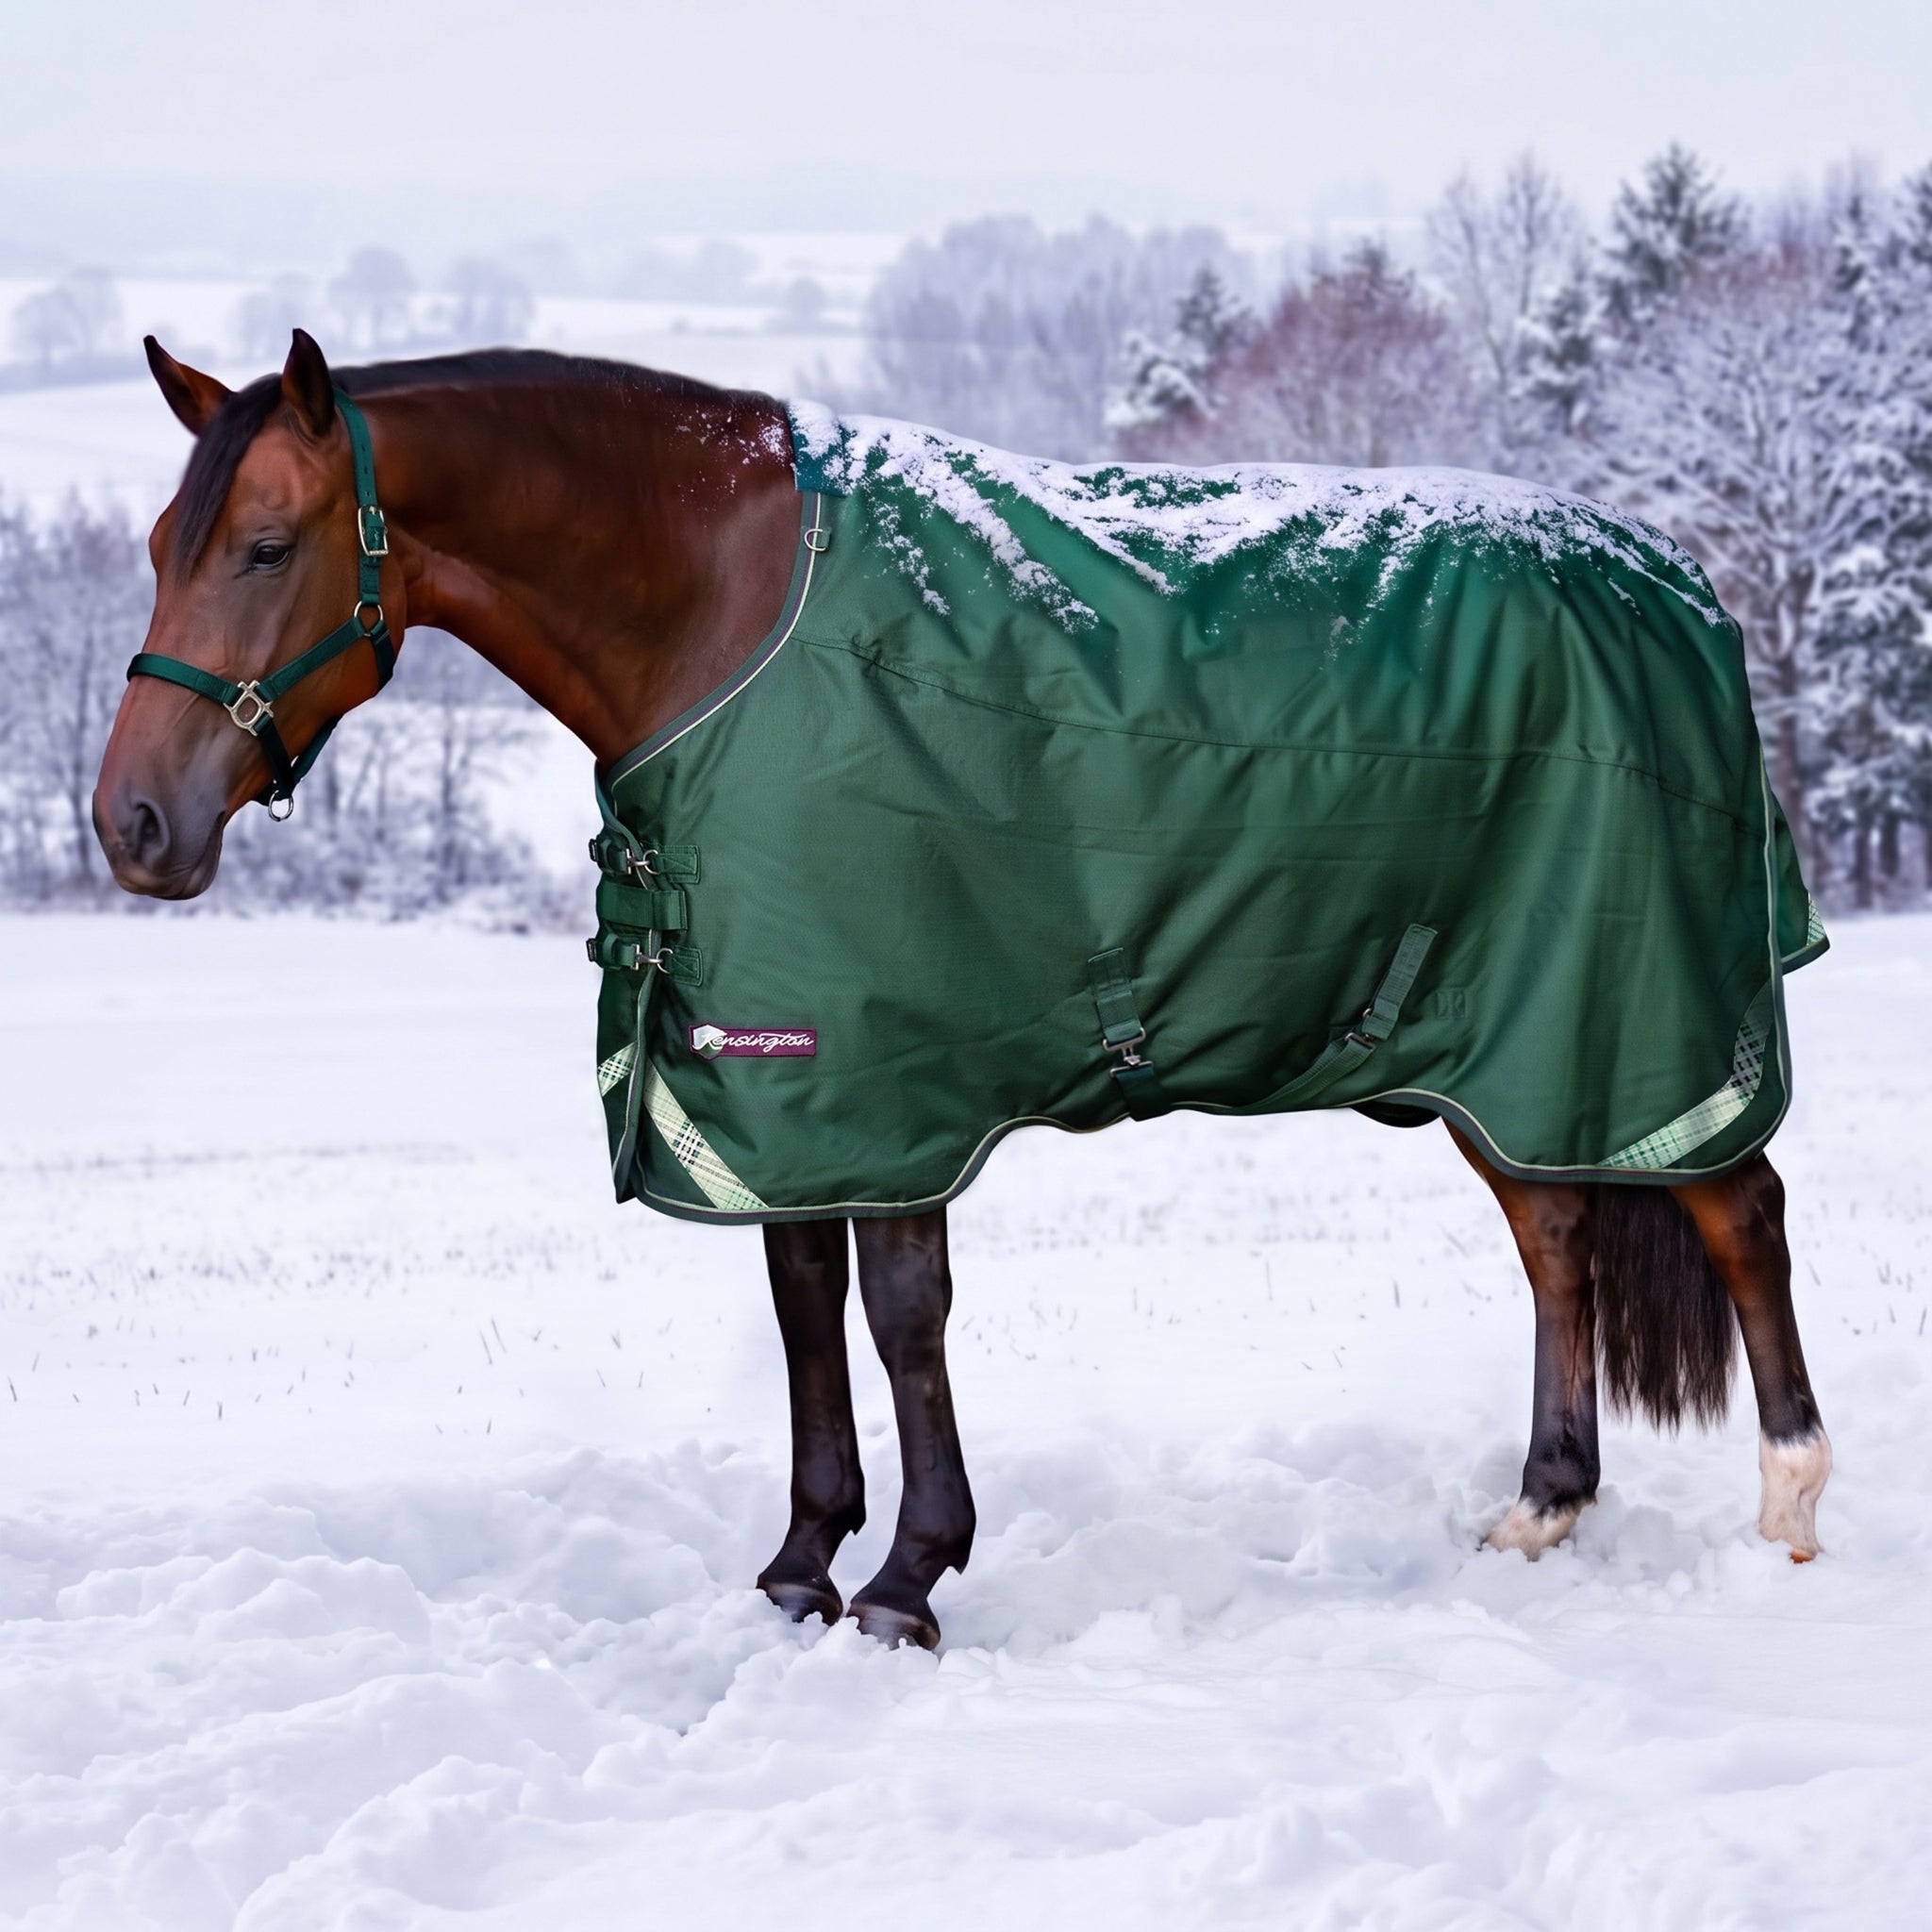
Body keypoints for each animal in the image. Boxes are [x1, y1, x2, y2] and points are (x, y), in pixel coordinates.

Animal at [93, 330, 1831, 1649]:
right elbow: (803, 1311)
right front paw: (802, 1564)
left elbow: (901, 1315)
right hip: (1504, 1039)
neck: (725, 611)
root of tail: (1671, 584)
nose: (132, 824)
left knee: (1737, 1208)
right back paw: (1542, 1506)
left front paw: (908, 1578)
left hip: (1639, 1013)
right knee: (1557, 1233)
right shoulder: (776, 1080)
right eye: (160, 549)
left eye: (264, 546)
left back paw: (1791, 1510)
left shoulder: (893, 1068)